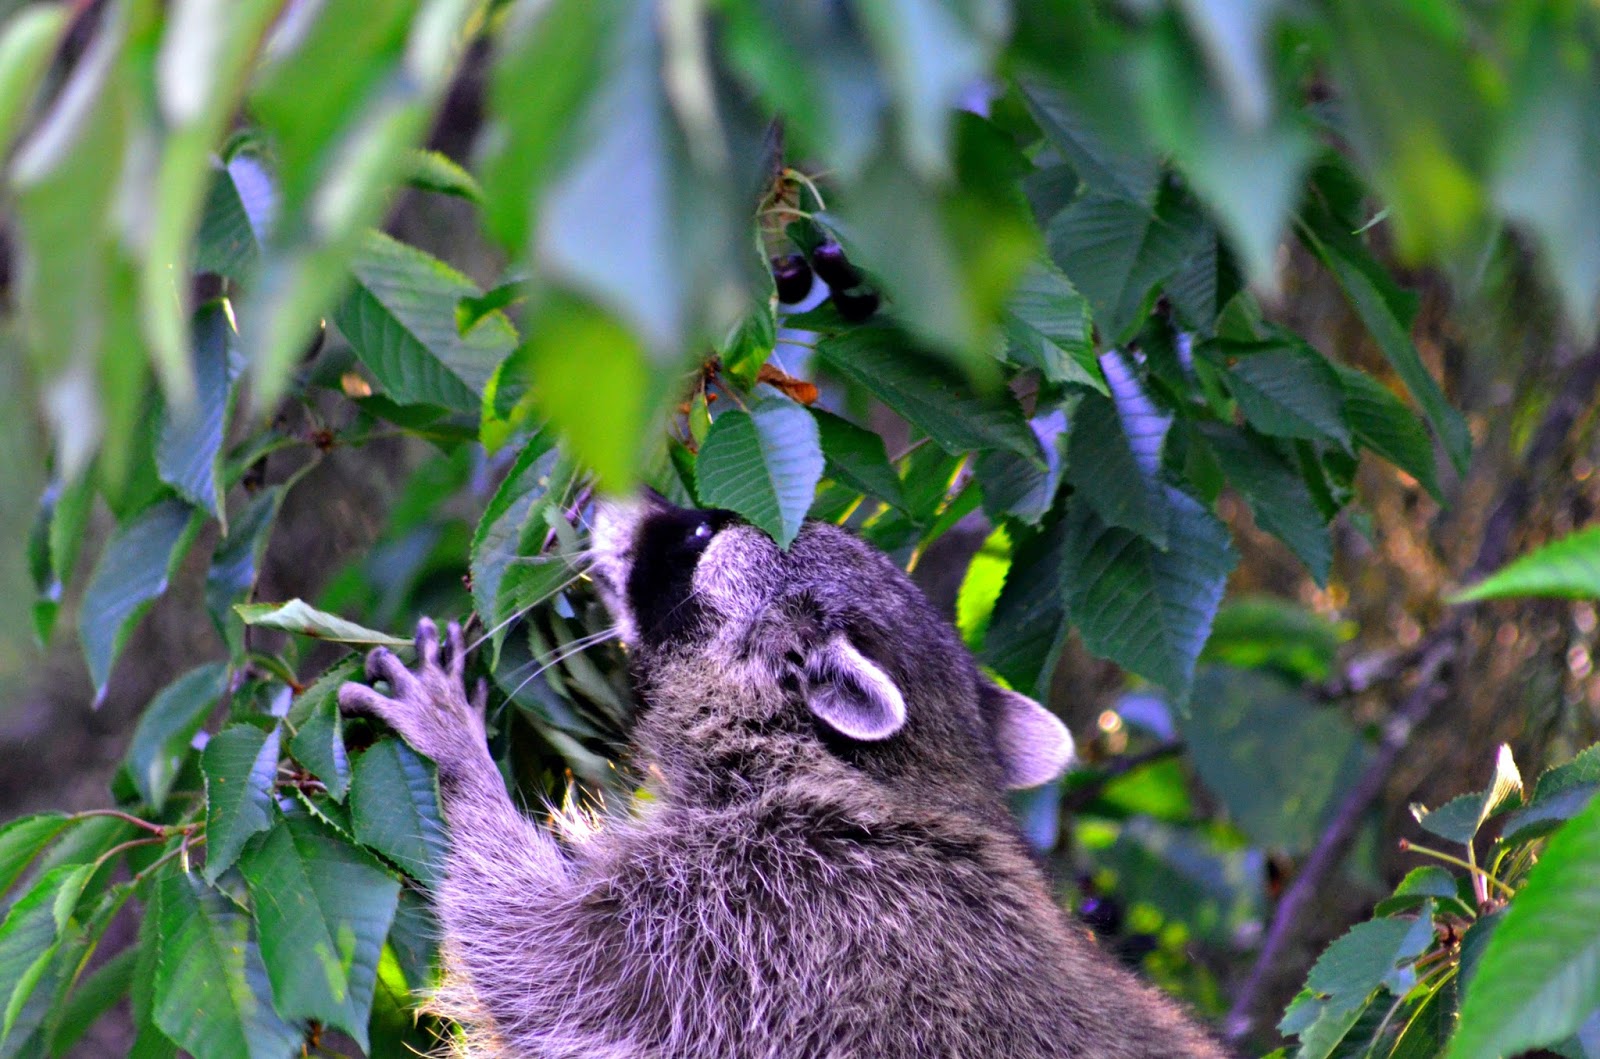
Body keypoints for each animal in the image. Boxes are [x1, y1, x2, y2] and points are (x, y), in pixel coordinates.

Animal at [340, 492, 1222, 1055]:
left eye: (699, 532)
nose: (617, 490)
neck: (896, 770)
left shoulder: (756, 909)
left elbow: (526, 951)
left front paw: (459, 753)